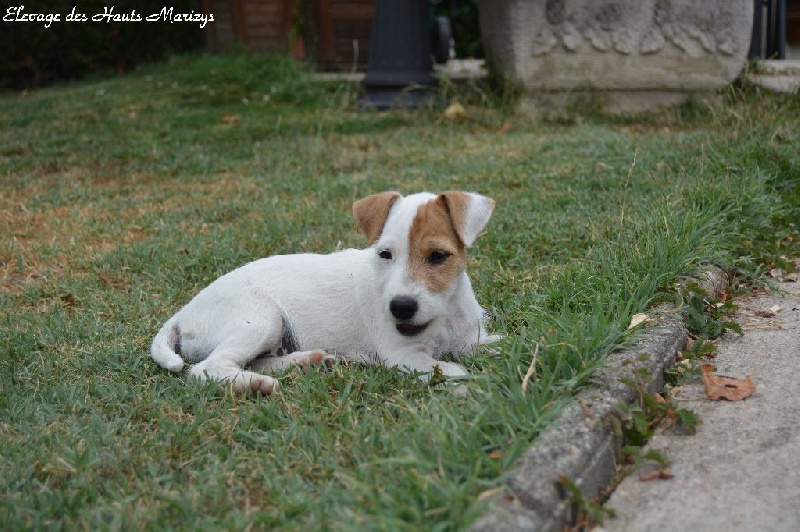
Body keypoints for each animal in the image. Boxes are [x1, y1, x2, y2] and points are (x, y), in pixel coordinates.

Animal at [150, 190, 499, 393]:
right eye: (384, 254)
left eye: (438, 256)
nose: (401, 307)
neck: (444, 316)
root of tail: (182, 313)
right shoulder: (404, 356)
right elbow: (452, 369)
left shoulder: (472, 341)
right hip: (261, 319)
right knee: (207, 368)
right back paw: (258, 384)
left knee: (253, 361)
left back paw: (306, 362)